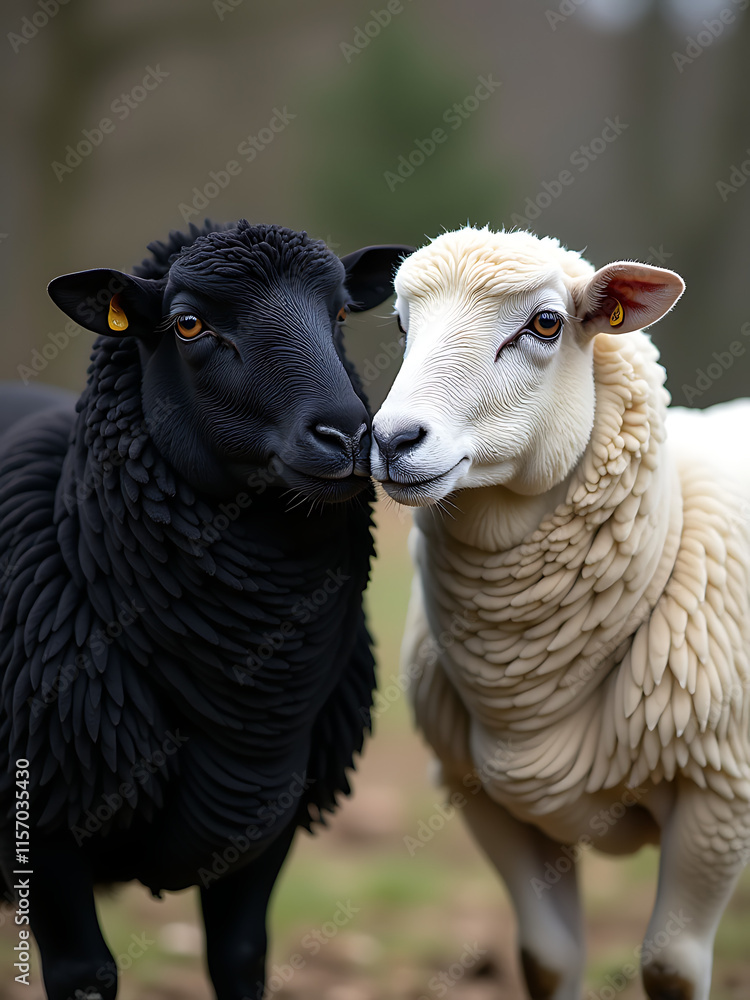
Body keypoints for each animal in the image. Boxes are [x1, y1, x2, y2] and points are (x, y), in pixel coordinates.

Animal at [0, 219, 412, 1000]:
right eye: (189, 324)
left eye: (342, 312)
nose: (349, 437)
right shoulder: (46, 817)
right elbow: (85, 973)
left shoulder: (270, 810)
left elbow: (241, 957)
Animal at [372, 225, 750, 1000]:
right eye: (400, 324)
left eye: (545, 324)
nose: (392, 441)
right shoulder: (486, 797)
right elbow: (547, 957)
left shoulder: (719, 798)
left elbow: (669, 966)